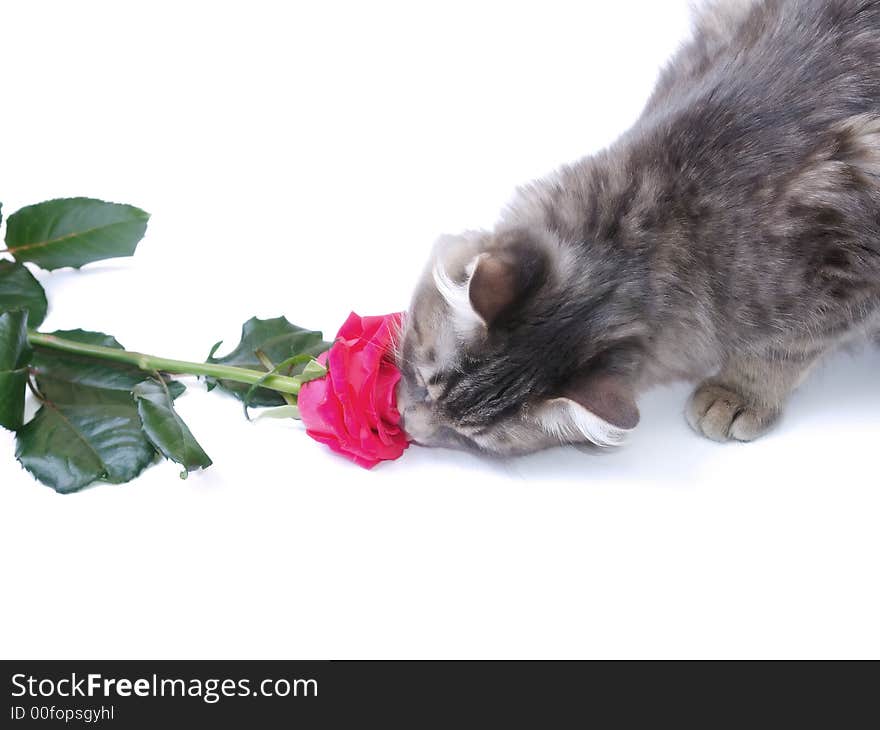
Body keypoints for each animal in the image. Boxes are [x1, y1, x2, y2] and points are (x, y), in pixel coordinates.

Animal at [396, 0, 880, 452]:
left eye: (468, 438)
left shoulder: (847, 275)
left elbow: (781, 351)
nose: (407, 425)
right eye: (422, 378)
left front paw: (736, 393)